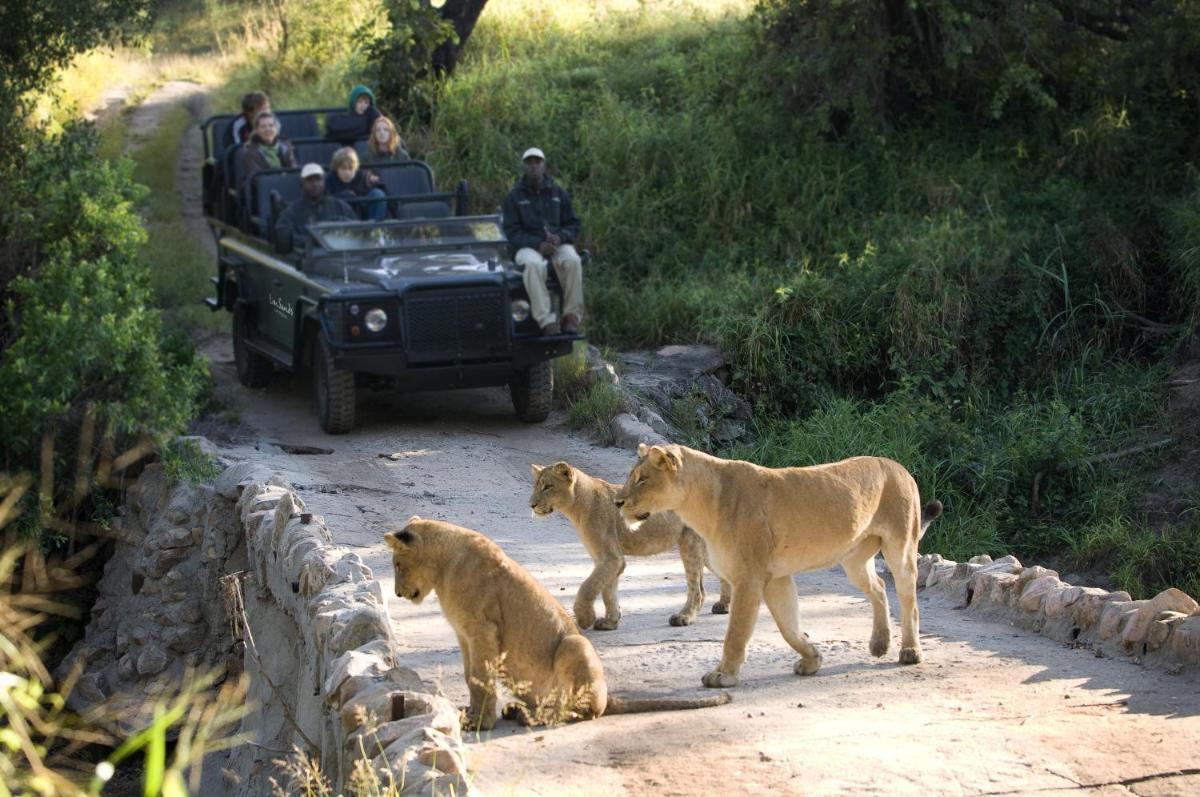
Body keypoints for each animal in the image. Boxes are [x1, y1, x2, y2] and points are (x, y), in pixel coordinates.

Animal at [384, 517, 732, 730]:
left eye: (398, 564)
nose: (397, 593)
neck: (444, 565)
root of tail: (610, 695)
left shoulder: (483, 631)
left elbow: (480, 678)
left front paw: (480, 723)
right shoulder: (464, 636)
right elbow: (472, 677)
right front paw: (470, 714)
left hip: (575, 644)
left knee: (586, 711)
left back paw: (534, 718)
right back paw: (520, 711)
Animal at [529, 462, 731, 630]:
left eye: (548, 486)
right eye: (535, 486)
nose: (531, 505)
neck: (577, 505)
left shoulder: (611, 558)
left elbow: (588, 587)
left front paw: (585, 618)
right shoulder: (605, 559)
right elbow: (608, 590)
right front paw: (610, 621)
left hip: (690, 542)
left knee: (697, 589)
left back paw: (684, 617)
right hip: (704, 550)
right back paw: (724, 606)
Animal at [614, 444, 942, 688]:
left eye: (642, 479)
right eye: (632, 476)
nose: (618, 502)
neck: (700, 504)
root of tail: (899, 467)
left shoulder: (749, 577)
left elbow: (736, 632)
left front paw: (723, 675)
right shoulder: (776, 578)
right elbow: (789, 627)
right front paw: (812, 658)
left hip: (900, 547)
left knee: (908, 598)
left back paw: (910, 651)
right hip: (853, 559)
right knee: (880, 587)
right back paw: (879, 643)